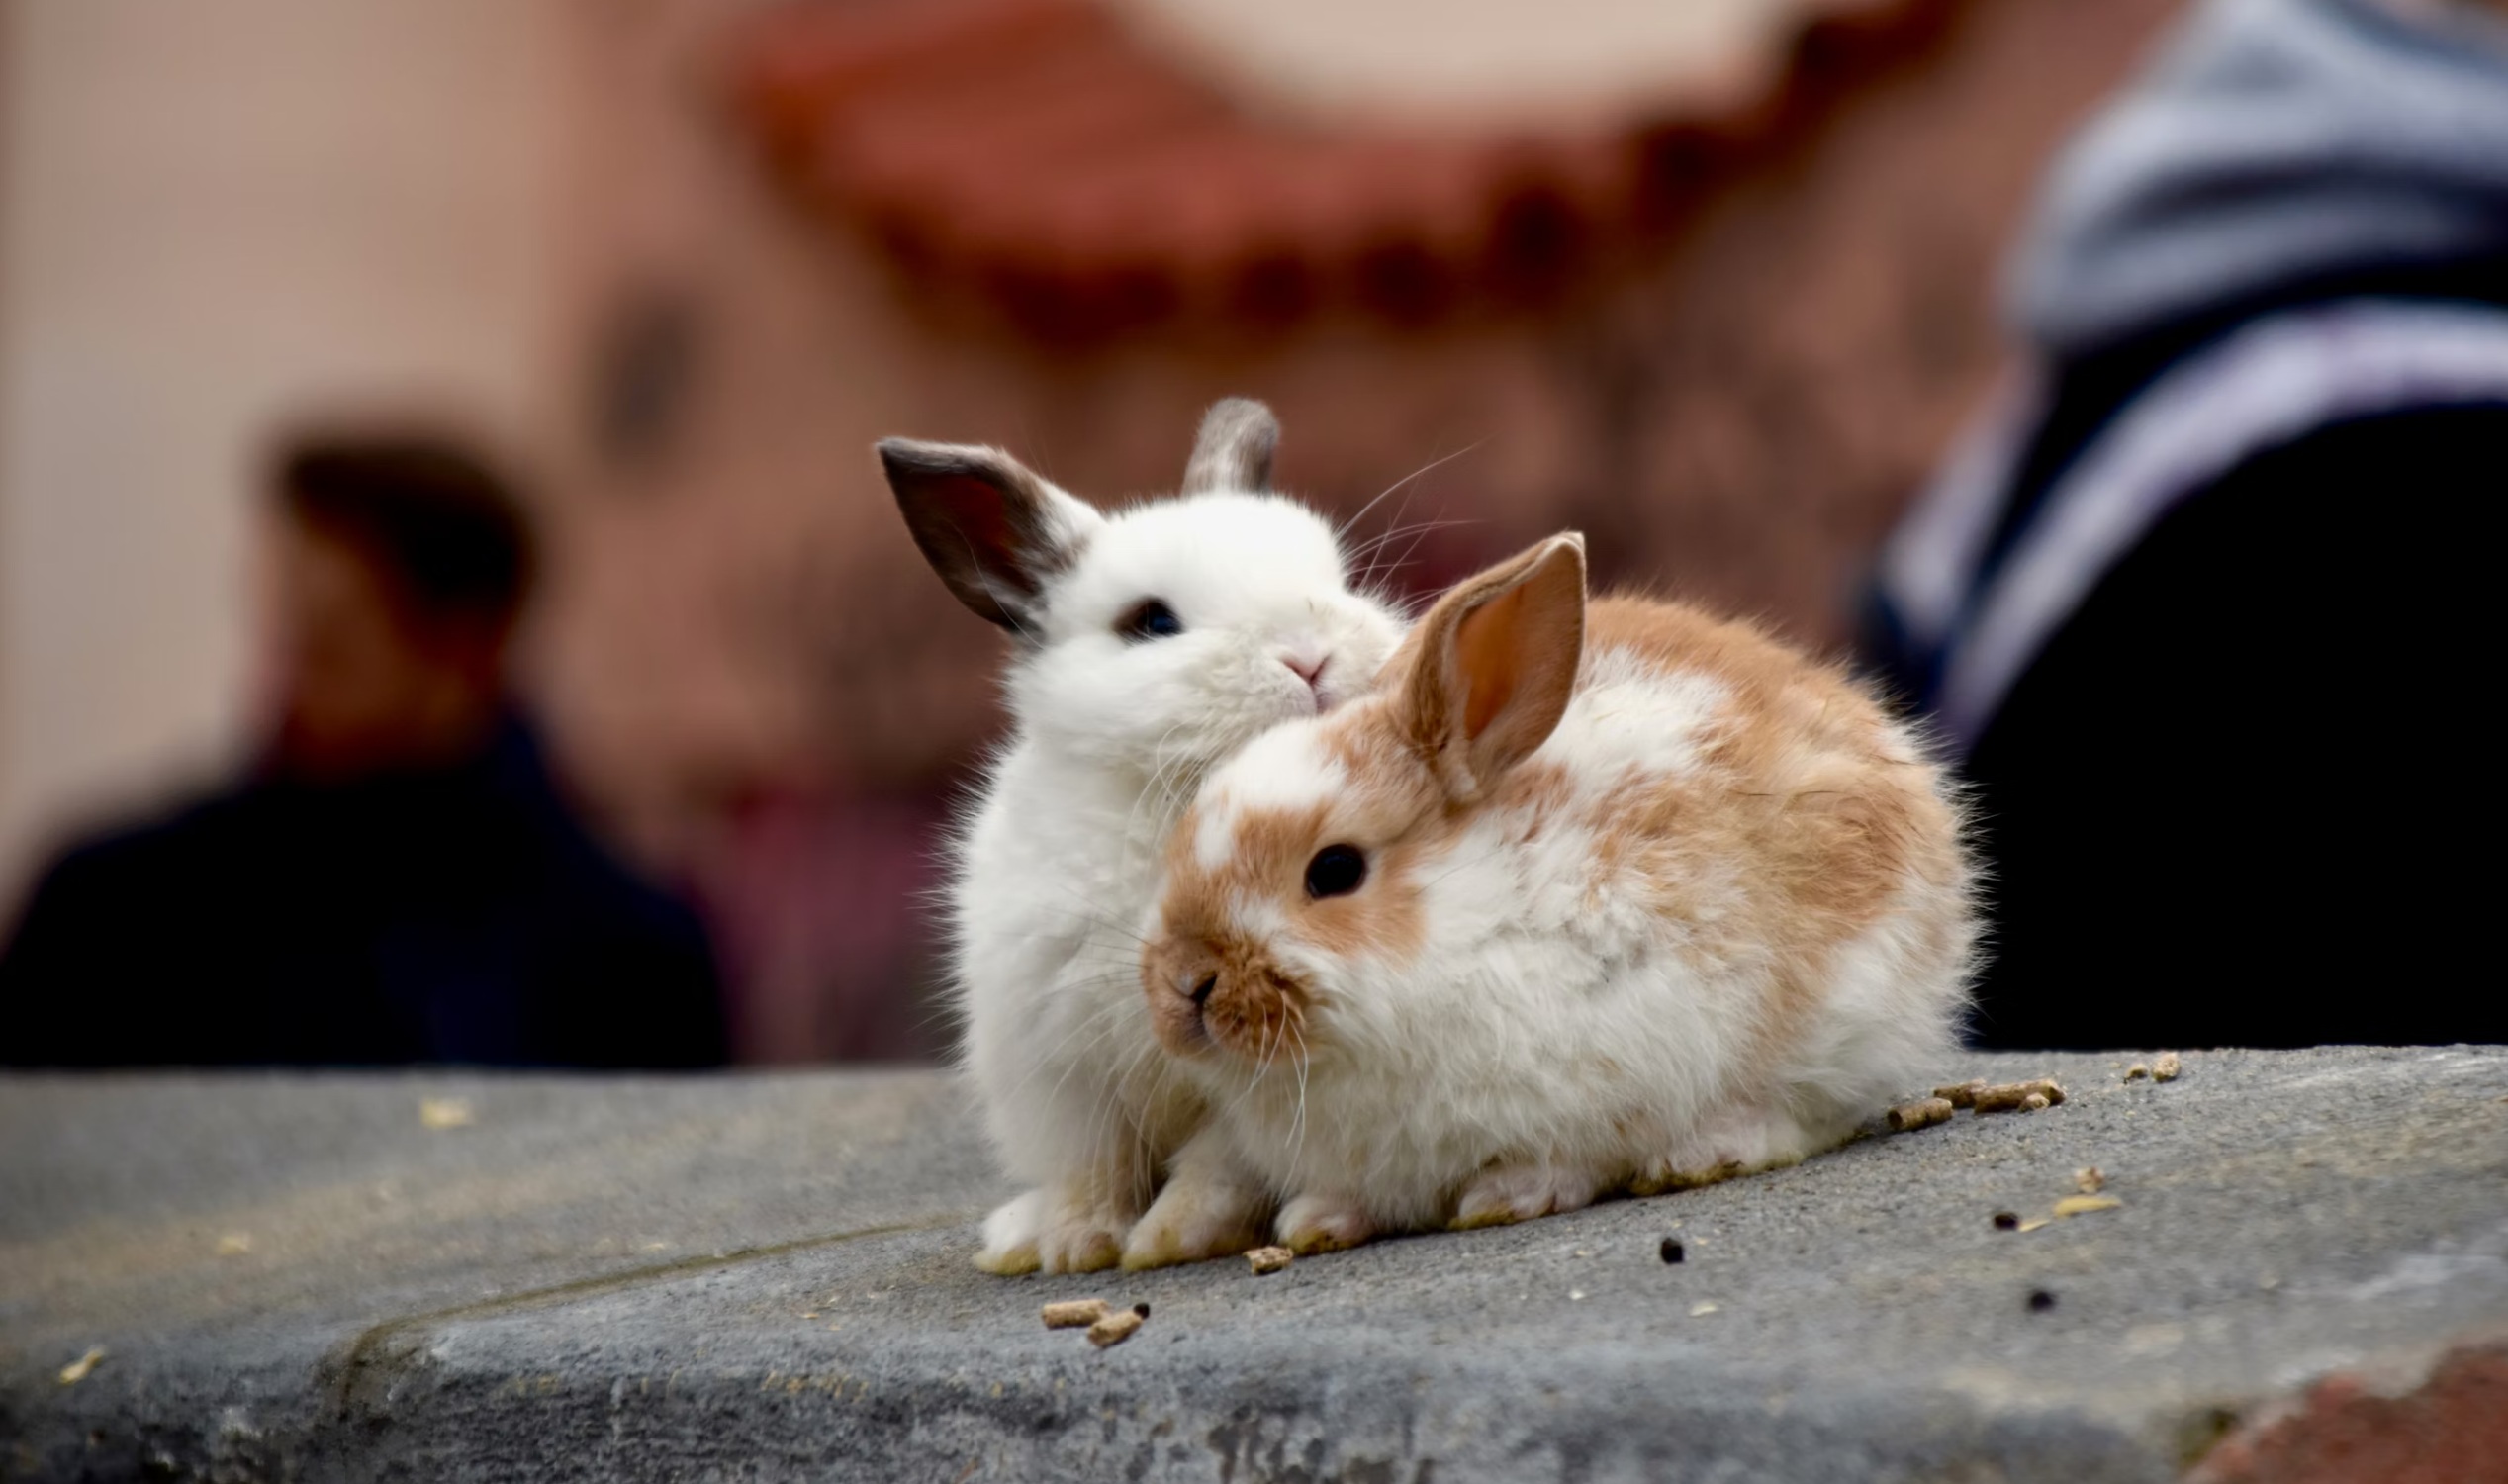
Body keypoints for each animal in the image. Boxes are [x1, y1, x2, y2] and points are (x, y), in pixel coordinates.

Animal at [882, 396, 1414, 1273]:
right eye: (1151, 622)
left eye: (1335, 581)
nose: (1310, 659)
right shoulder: (1063, 1074)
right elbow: (1091, 1170)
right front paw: (1078, 1249)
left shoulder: (1240, 1083)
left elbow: (1215, 1167)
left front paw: (1168, 1241)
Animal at [1133, 533, 1976, 1263]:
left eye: (1333, 871)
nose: (1186, 984)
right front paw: (1316, 1221)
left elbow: (1566, 1154)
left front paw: (1505, 1197)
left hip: (1849, 1005)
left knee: (1803, 1111)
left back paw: (1705, 1152)